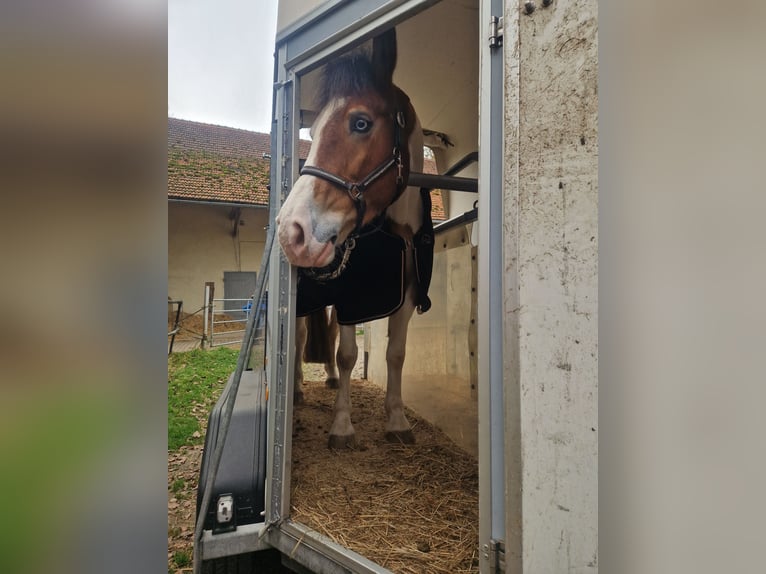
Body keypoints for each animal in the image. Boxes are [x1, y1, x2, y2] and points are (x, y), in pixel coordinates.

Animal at [278, 28, 436, 450]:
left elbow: (395, 354)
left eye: (361, 123)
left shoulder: (406, 294)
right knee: (300, 336)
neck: (394, 231)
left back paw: (331, 381)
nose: (290, 230)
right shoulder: (350, 296)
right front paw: (342, 425)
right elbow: (348, 353)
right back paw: (297, 389)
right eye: (314, 130)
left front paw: (396, 420)